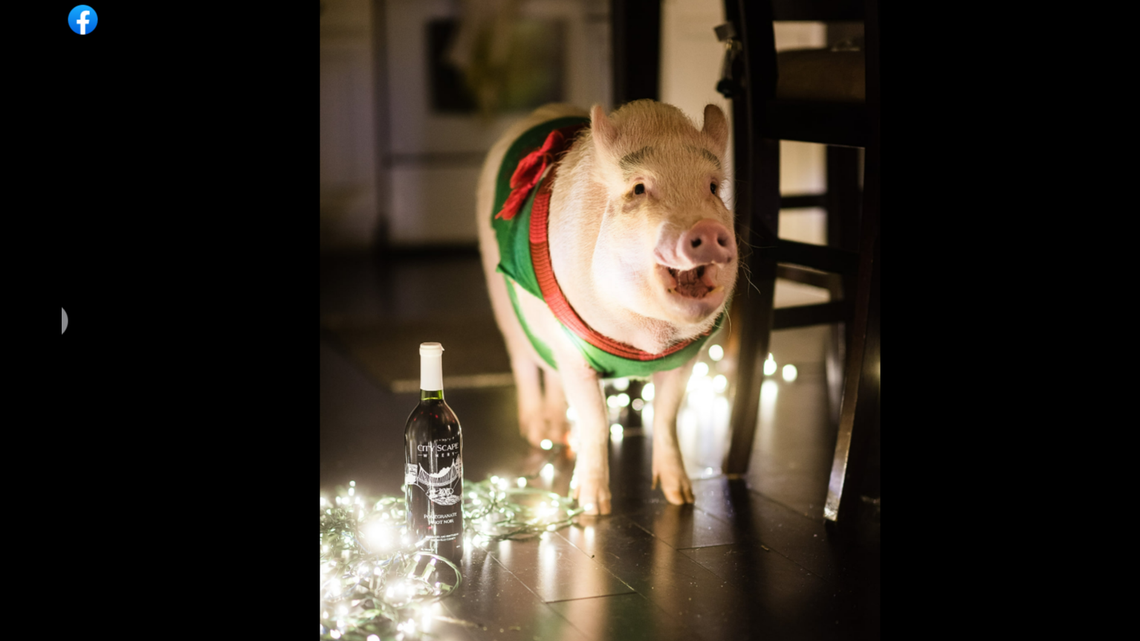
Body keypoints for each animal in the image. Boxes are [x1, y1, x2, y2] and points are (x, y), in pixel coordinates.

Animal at [476, 100, 736, 515]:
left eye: (712, 188)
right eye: (639, 188)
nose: (708, 228)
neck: (644, 343)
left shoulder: (685, 358)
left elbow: (666, 417)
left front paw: (681, 500)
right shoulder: (574, 349)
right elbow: (595, 419)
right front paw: (592, 510)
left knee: (551, 374)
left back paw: (558, 434)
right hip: (504, 304)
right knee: (523, 363)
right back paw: (537, 434)